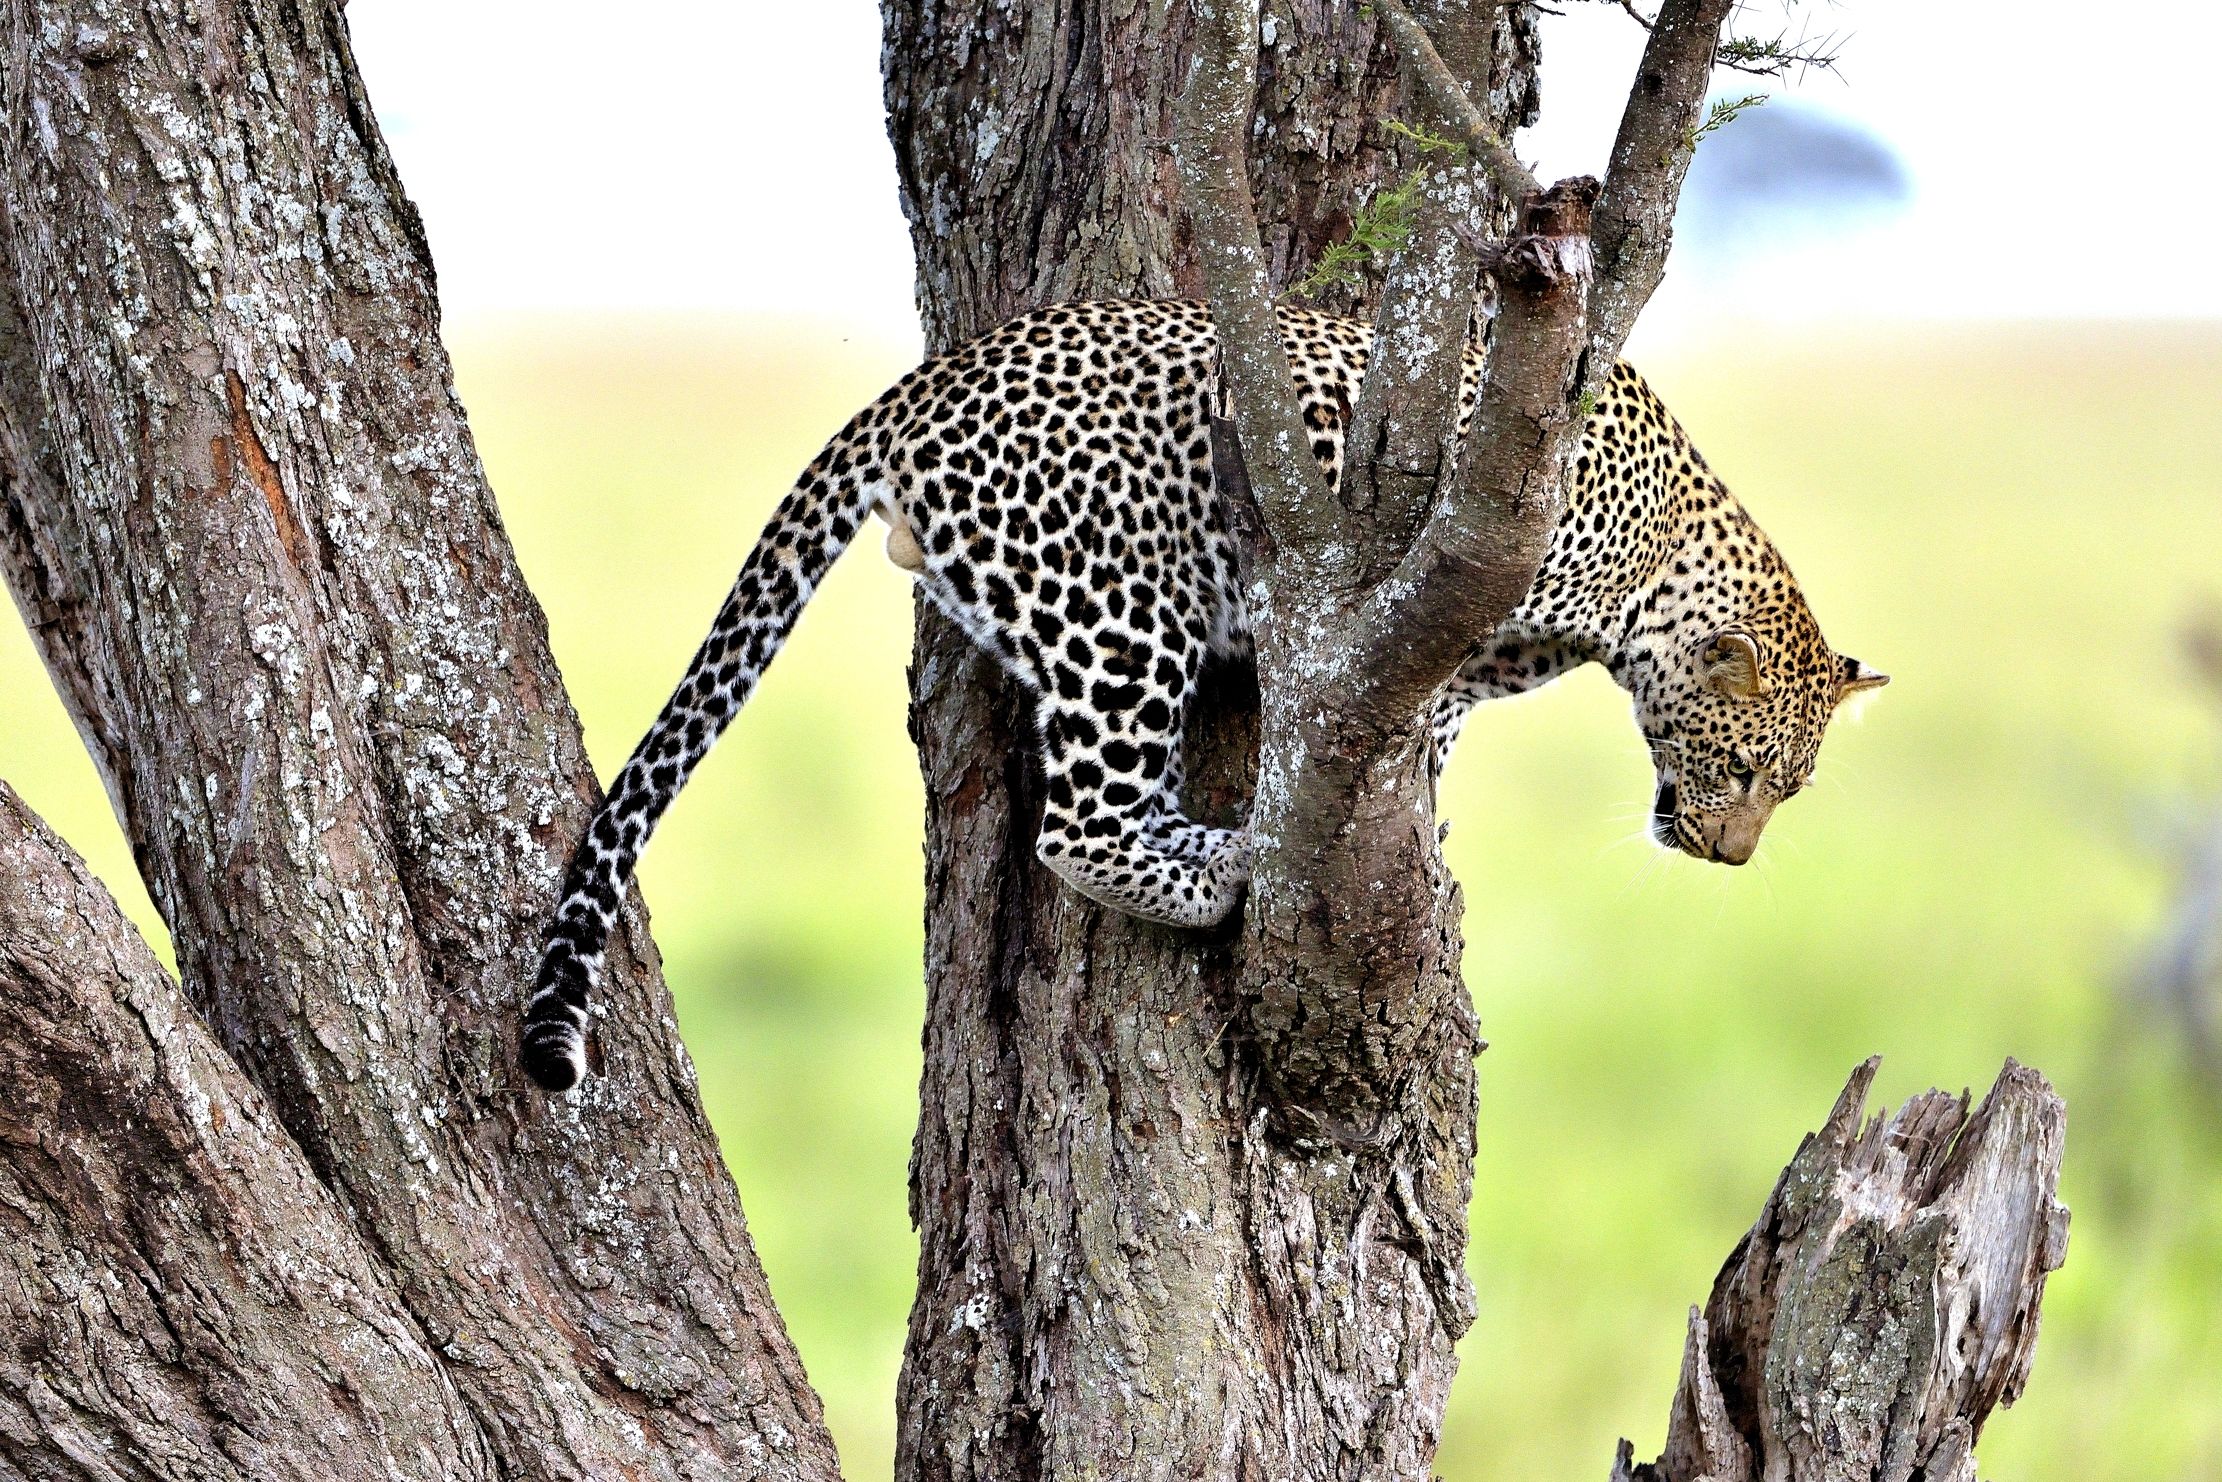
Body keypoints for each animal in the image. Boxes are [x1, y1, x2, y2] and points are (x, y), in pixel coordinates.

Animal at [521, 298, 1886, 1092]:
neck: (1656, 567)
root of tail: (925, 380)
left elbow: (1438, 725)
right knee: (1074, 826)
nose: (1727, 856)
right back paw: (1217, 869)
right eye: (1747, 772)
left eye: (1788, 790)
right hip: (1119, 610)